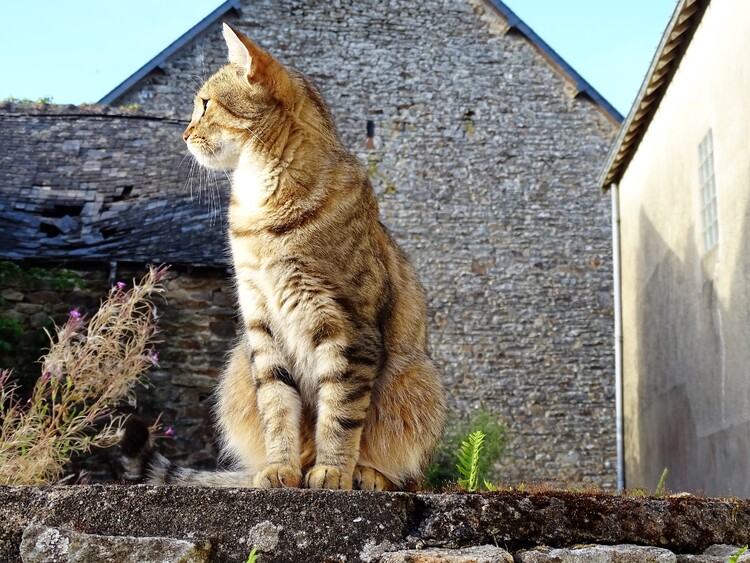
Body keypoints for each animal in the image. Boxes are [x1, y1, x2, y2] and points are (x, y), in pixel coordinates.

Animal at [120, 23, 444, 490]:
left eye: (205, 104)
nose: (183, 134)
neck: (262, 203)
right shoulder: (260, 323)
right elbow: (276, 407)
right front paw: (281, 468)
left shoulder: (347, 324)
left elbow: (340, 411)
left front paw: (333, 470)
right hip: (237, 368)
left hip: (417, 380)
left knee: (399, 463)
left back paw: (367, 473)